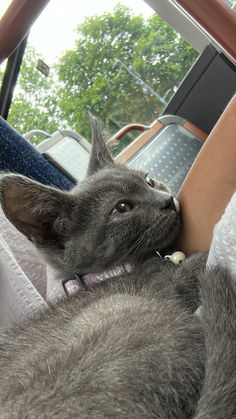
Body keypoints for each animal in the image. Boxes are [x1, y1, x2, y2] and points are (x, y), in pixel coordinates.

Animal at [0, 119, 235, 419]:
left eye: (148, 181)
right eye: (122, 207)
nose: (167, 199)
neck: (115, 270)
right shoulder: (163, 285)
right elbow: (187, 273)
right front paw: (201, 259)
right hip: (129, 310)